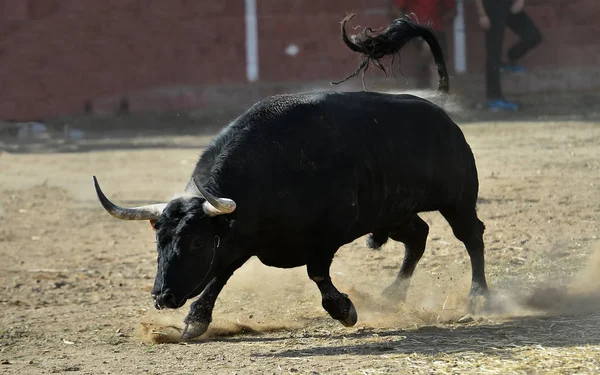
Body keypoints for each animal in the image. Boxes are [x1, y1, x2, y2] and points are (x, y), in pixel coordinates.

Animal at [92, 14, 488, 340]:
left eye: (197, 242)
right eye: (158, 242)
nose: (163, 297)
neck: (268, 173)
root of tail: (438, 109)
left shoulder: (328, 231)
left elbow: (316, 271)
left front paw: (344, 310)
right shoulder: (242, 237)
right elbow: (221, 275)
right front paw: (196, 320)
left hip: (457, 199)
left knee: (471, 235)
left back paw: (478, 296)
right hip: (393, 211)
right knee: (418, 236)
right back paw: (391, 296)